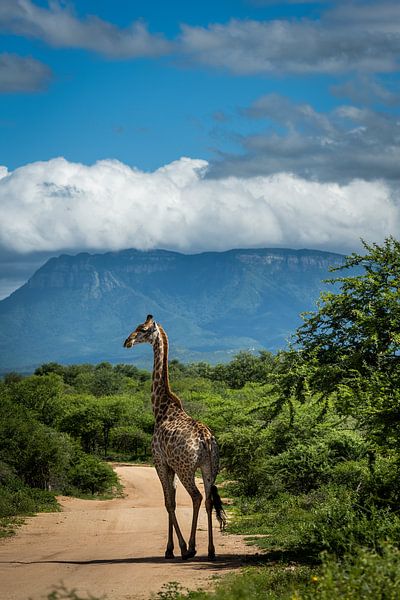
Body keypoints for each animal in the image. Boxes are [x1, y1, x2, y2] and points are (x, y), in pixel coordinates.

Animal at [123, 316, 227, 560]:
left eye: (142, 330)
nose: (127, 342)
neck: (160, 410)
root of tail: (206, 440)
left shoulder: (160, 462)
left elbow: (168, 502)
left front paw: (173, 548)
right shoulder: (170, 466)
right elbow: (172, 500)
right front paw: (173, 547)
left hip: (186, 468)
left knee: (197, 497)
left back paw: (191, 548)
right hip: (209, 468)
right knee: (209, 500)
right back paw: (211, 550)